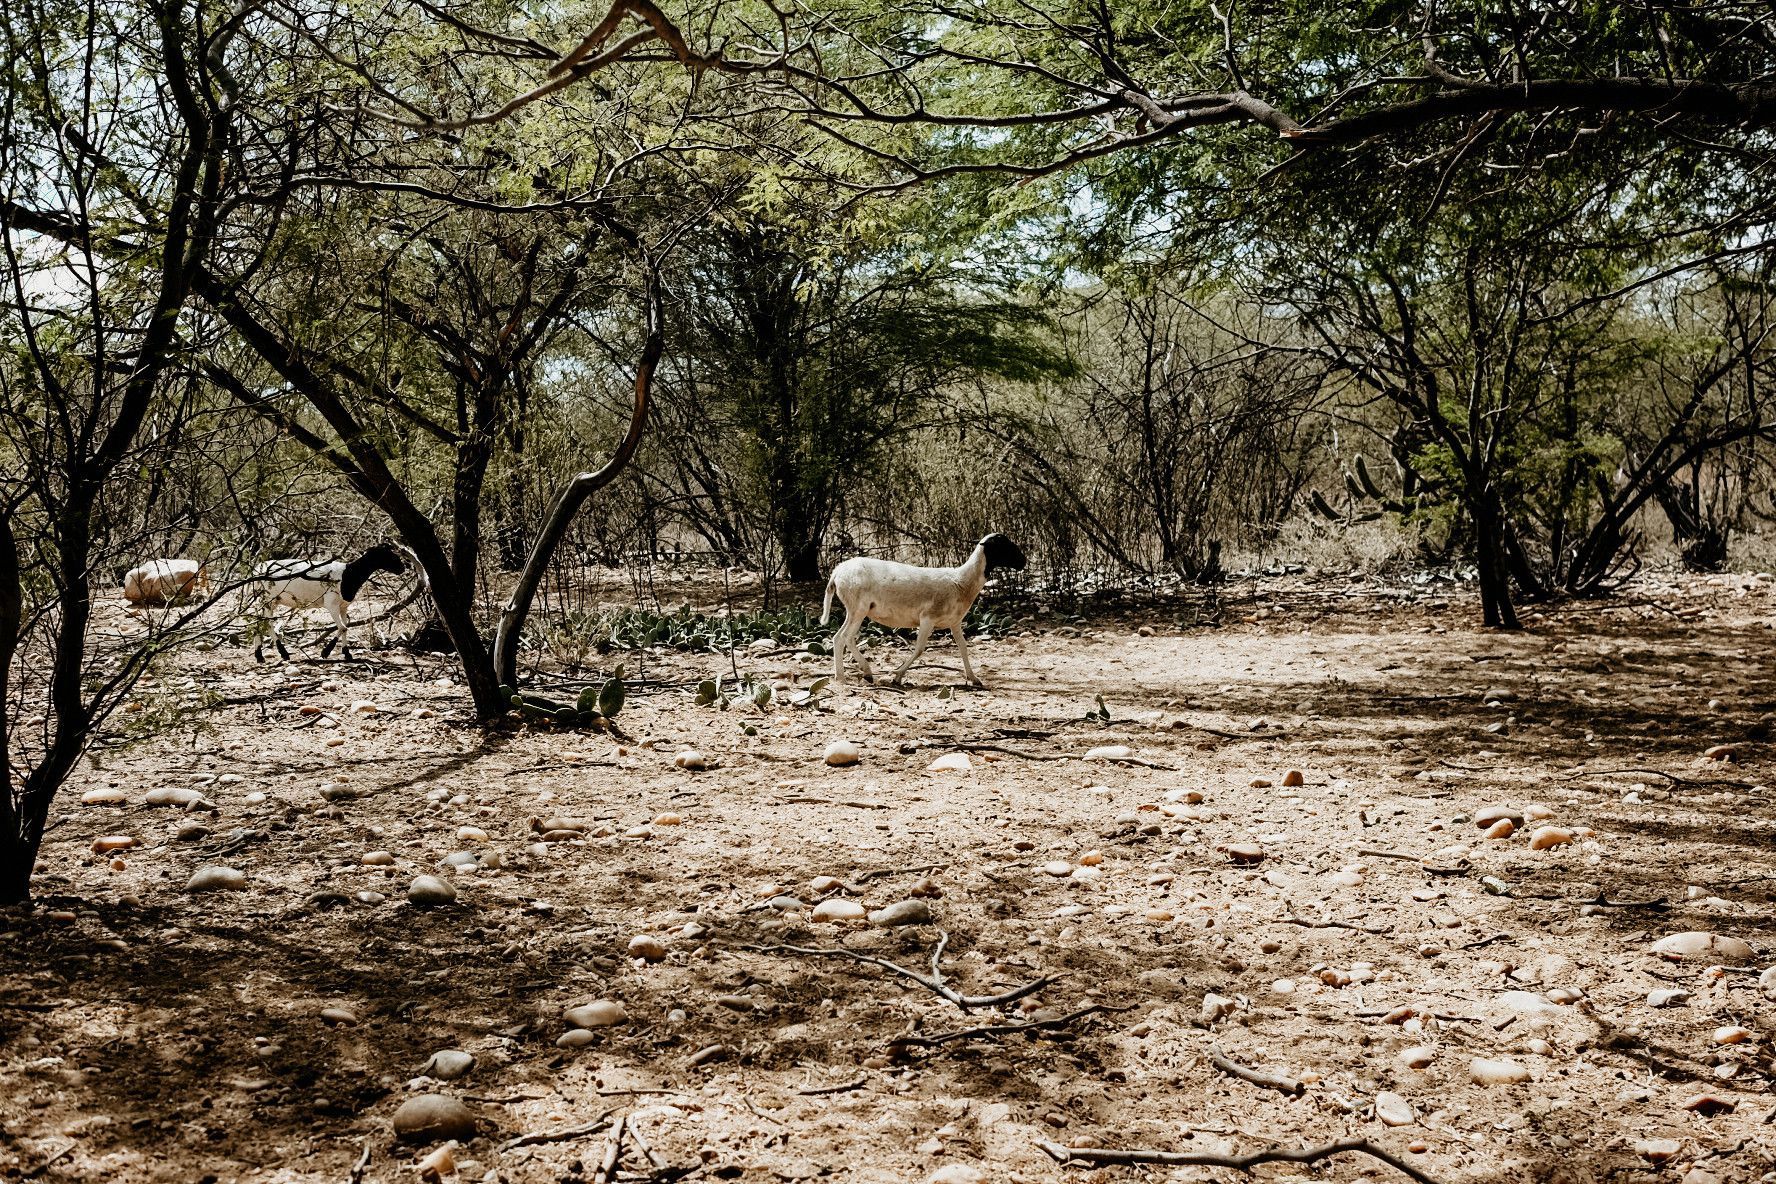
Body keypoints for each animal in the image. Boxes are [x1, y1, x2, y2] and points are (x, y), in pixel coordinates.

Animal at [250, 544, 406, 661]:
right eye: (387, 555)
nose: (402, 568)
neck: (348, 574)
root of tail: (257, 570)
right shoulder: (332, 604)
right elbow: (343, 627)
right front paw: (326, 652)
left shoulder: (343, 607)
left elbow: (345, 627)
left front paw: (347, 654)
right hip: (268, 599)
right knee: (266, 623)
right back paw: (281, 654)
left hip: (269, 601)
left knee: (260, 622)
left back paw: (261, 656)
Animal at [820, 534, 1026, 687]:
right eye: (1004, 546)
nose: (1024, 562)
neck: (961, 582)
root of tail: (837, 572)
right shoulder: (927, 618)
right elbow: (919, 649)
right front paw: (898, 676)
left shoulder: (955, 622)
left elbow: (963, 648)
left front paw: (974, 678)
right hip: (858, 608)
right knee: (845, 637)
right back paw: (855, 675)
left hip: (853, 610)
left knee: (840, 637)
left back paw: (849, 675)